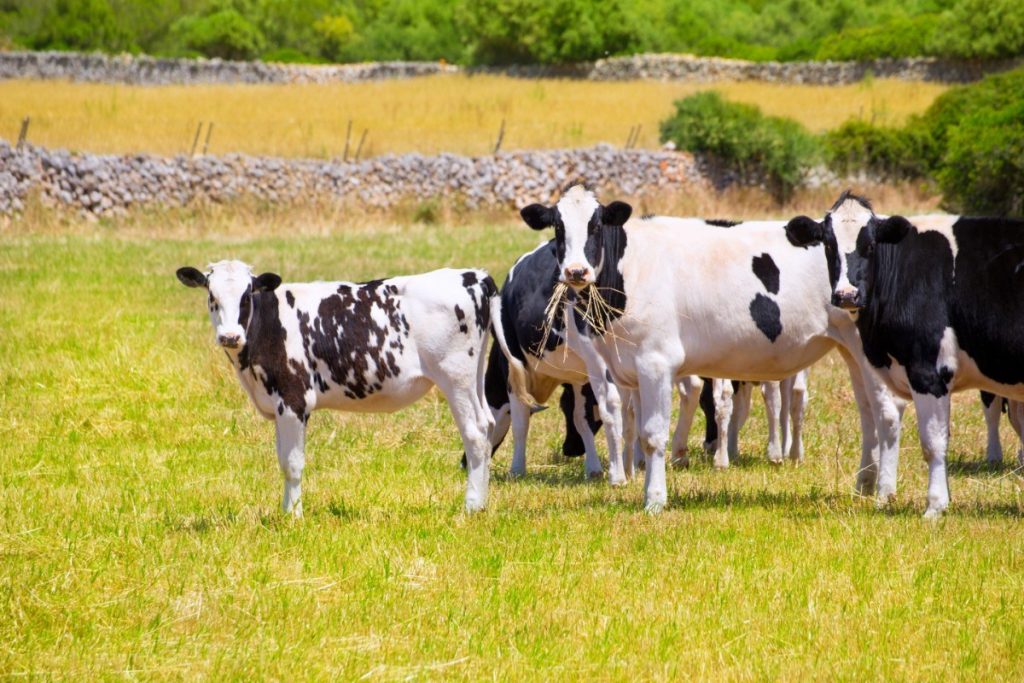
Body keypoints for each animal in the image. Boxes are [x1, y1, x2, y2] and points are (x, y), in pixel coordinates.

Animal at [178, 259, 505, 516]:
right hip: (474, 375)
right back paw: (483, 504)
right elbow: (282, 459)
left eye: (246, 296)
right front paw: (285, 512)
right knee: (489, 425)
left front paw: (294, 516)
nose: (230, 336)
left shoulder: (293, 399)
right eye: (211, 295)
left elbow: (292, 463)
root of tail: (474, 275)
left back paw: (471, 507)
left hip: (455, 375)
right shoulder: (278, 405)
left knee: (475, 433)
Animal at [516, 185, 909, 511]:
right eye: (558, 228)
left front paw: (654, 500)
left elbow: (652, 435)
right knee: (868, 411)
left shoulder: (655, 362)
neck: (630, 272)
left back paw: (884, 492)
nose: (576, 272)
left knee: (889, 411)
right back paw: (865, 483)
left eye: (596, 226)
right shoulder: (625, 367)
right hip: (853, 353)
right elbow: (633, 429)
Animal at [782, 191, 1024, 511]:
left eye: (870, 245)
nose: (847, 295)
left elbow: (932, 442)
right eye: (828, 244)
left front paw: (934, 506)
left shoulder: (928, 370)